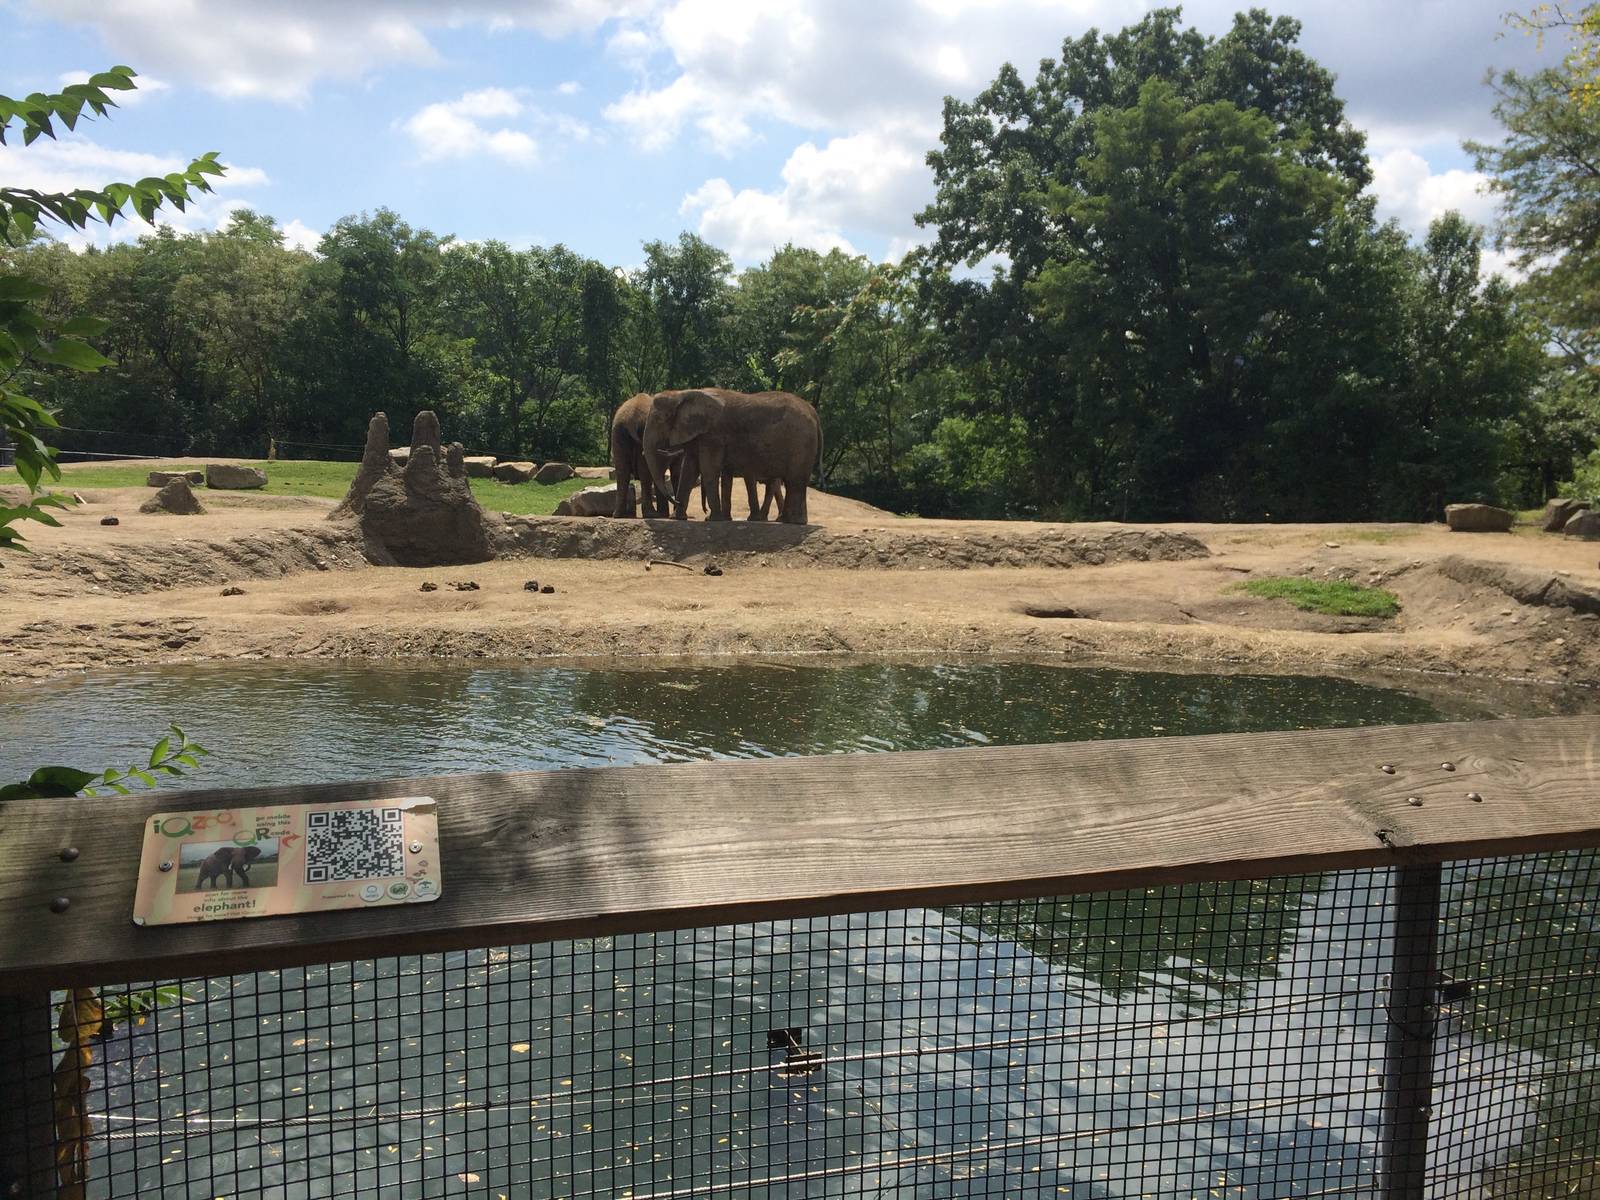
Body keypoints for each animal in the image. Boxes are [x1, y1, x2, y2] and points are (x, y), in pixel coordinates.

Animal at [643, 389, 821, 525]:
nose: (676, 501)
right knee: (792, 483)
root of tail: (813, 412)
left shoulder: (713, 435)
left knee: (795, 481)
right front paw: (678, 519)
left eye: (659, 420)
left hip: (801, 442)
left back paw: (794, 522)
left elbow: (708, 470)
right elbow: (689, 471)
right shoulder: (698, 435)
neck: (681, 393)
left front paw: (713, 520)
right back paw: (788, 521)